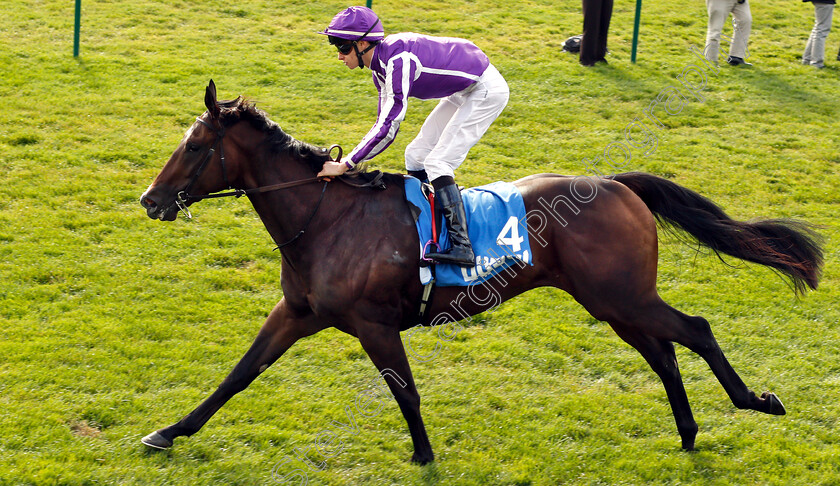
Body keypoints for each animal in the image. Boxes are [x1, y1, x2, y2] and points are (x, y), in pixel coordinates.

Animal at [138, 81, 820, 466]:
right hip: (612, 302)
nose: (150, 200)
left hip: (621, 296)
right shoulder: (298, 314)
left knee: (695, 329)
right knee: (664, 353)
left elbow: (405, 392)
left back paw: (755, 401)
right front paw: (168, 432)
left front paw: (422, 454)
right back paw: (687, 432)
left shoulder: (373, 325)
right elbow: (238, 375)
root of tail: (615, 183)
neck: (324, 217)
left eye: (194, 147)